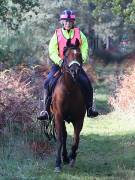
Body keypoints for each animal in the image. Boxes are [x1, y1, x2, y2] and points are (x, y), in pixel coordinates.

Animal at [50, 38, 86, 172]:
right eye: (66, 55)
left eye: (79, 54)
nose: (75, 71)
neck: (69, 89)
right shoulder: (58, 116)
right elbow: (60, 139)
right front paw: (57, 164)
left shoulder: (79, 118)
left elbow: (76, 138)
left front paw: (72, 156)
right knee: (64, 136)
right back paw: (64, 158)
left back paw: (67, 157)